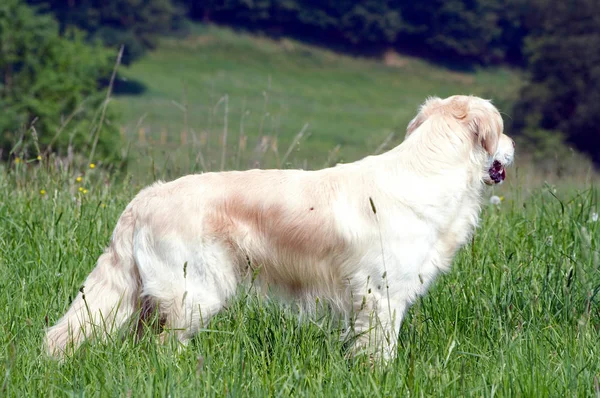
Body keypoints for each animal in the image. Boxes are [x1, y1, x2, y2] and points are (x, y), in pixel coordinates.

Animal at [45, 95, 516, 360]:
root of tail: (143, 200)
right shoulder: (381, 296)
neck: (427, 171)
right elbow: (381, 352)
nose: (512, 145)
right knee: (163, 349)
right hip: (196, 293)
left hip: (148, 298)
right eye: (503, 128)